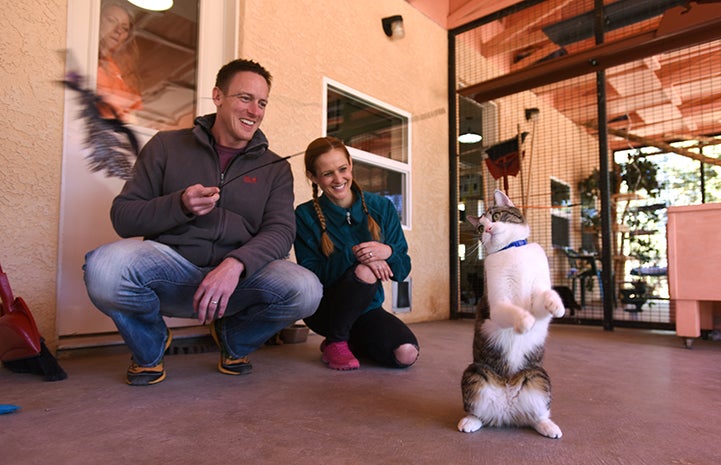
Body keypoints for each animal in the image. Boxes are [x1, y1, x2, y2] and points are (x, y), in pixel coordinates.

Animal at [458, 189, 564, 438]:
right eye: (480, 227)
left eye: (495, 216)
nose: (487, 229)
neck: (512, 251)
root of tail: (507, 409)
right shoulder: (496, 304)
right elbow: (508, 310)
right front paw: (525, 321)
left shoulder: (538, 291)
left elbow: (545, 297)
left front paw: (557, 305)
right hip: (475, 372)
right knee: (478, 412)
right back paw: (469, 422)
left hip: (538, 375)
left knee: (536, 415)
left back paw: (548, 426)